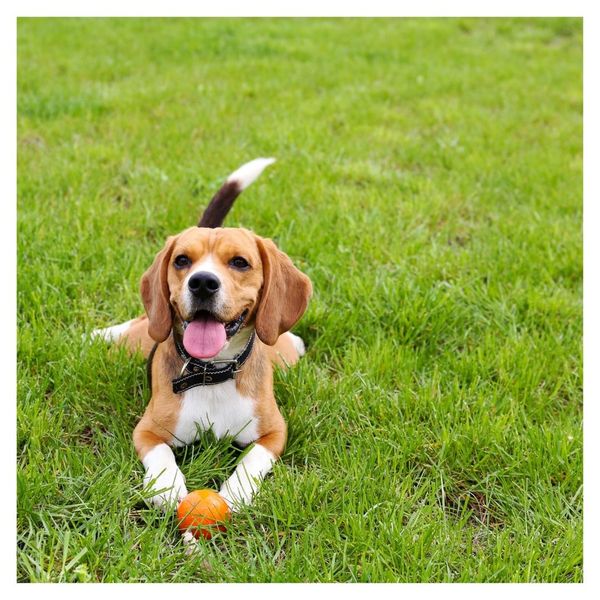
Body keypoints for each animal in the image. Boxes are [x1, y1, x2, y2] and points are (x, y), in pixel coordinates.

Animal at [90, 158, 314, 540]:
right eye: (182, 260)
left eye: (239, 262)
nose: (203, 282)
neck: (212, 373)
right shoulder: (147, 430)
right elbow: (161, 455)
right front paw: (167, 488)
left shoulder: (274, 433)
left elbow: (251, 460)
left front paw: (236, 494)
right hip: (144, 333)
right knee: (136, 325)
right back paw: (99, 334)